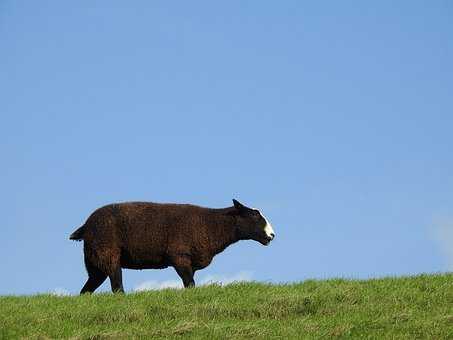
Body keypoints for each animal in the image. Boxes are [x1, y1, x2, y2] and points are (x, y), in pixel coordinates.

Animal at [69, 199, 276, 292]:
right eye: (254, 215)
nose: (272, 235)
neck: (212, 225)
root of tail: (86, 226)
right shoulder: (179, 256)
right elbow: (190, 284)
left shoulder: (190, 262)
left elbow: (190, 282)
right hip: (107, 252)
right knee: (117, 285)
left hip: (94, 260)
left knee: (87, 289)